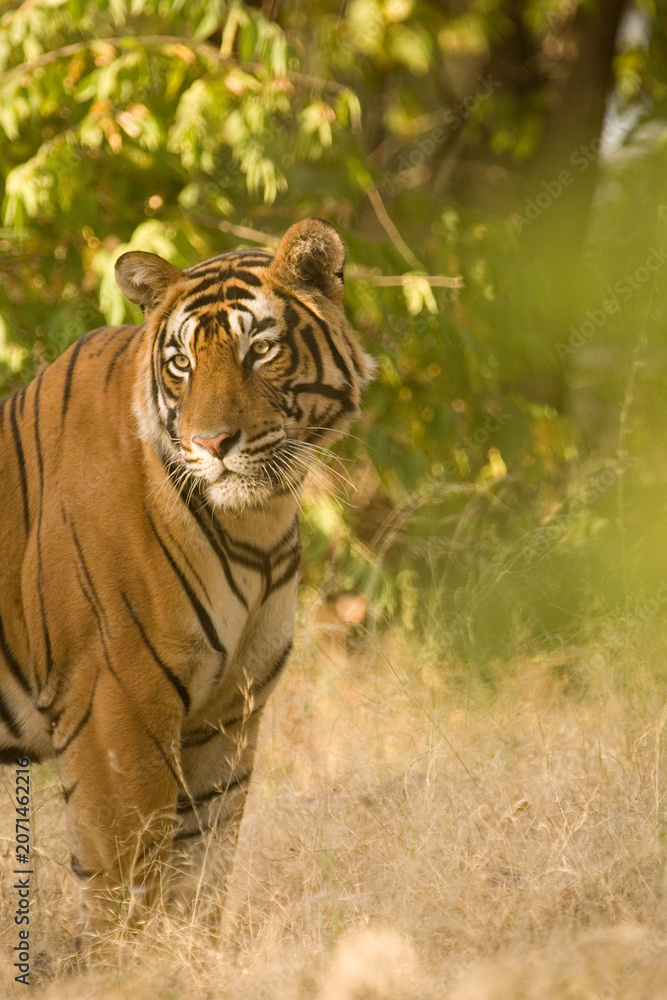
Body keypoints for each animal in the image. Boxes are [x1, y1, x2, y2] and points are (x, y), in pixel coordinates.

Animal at [0, 217, 373, 926]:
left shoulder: (226, 713)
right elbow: (127, 882)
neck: (256, 524)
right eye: (182, 363)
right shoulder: (111, 705)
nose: (211, 444)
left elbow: (200, 871)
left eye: (260, 350)